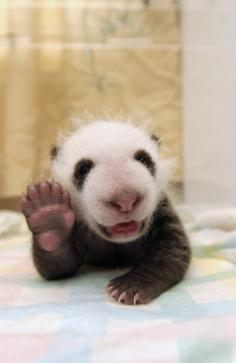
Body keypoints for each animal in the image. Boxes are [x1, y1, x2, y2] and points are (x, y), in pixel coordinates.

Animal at [19, 121, 190, 306]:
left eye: (144, 159)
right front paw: (49, 215)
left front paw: (131, 287)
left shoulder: (161, 208)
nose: (125, 200)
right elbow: (59, 264)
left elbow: (172, 251)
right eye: (83, 169)